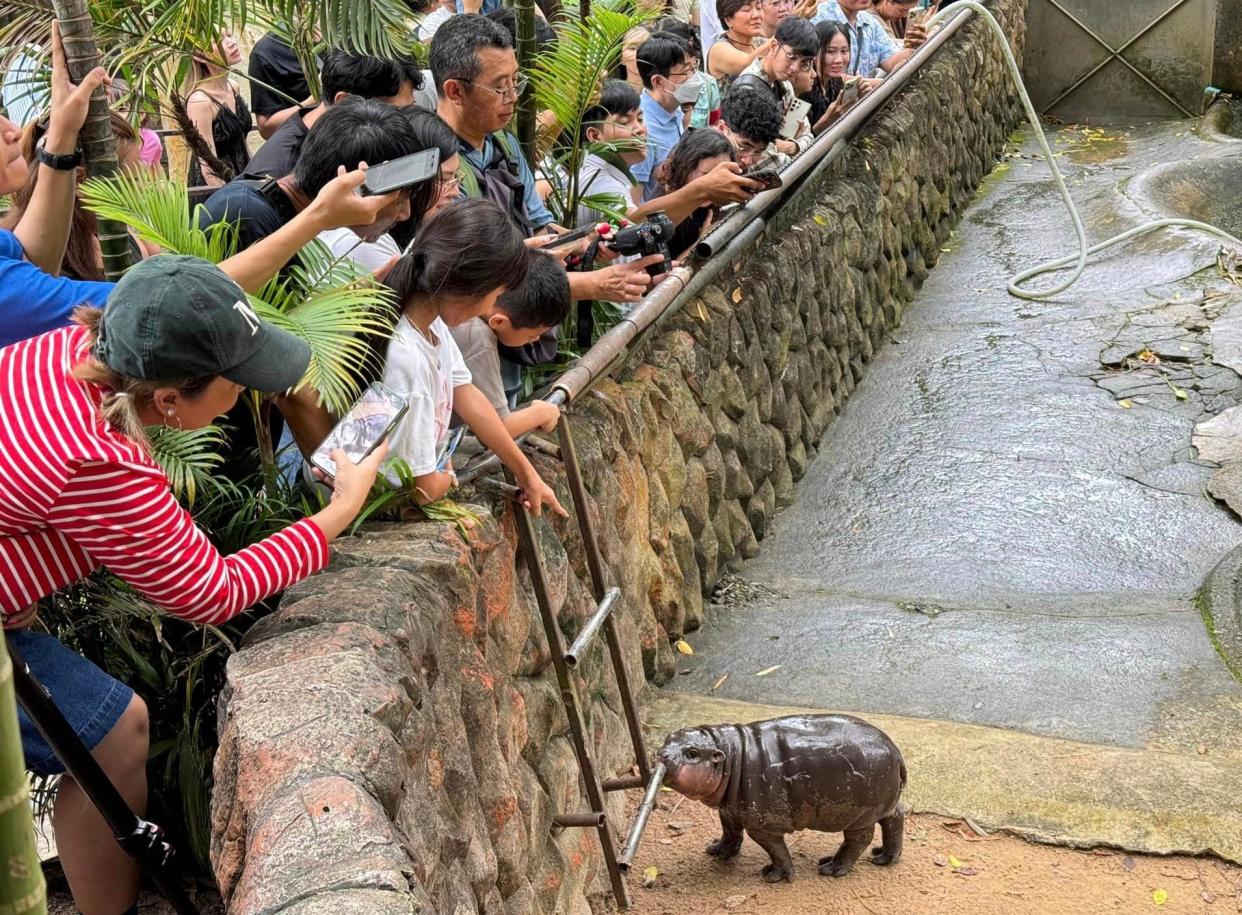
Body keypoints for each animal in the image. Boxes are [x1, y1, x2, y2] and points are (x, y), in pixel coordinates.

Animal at [660, 710, 904, 883]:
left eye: (692, 753)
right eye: (667, 738)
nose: (661, 754)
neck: (730, 755)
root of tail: (895, 750)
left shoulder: (763, 826)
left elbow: (776, 850)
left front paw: (774, 876)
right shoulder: (728, 810)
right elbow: (730, 832)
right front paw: (717, 851)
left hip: (858, 816)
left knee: (858, 839)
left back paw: (830, 868)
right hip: (884, 804)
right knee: (895, 817)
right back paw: (883, 858)